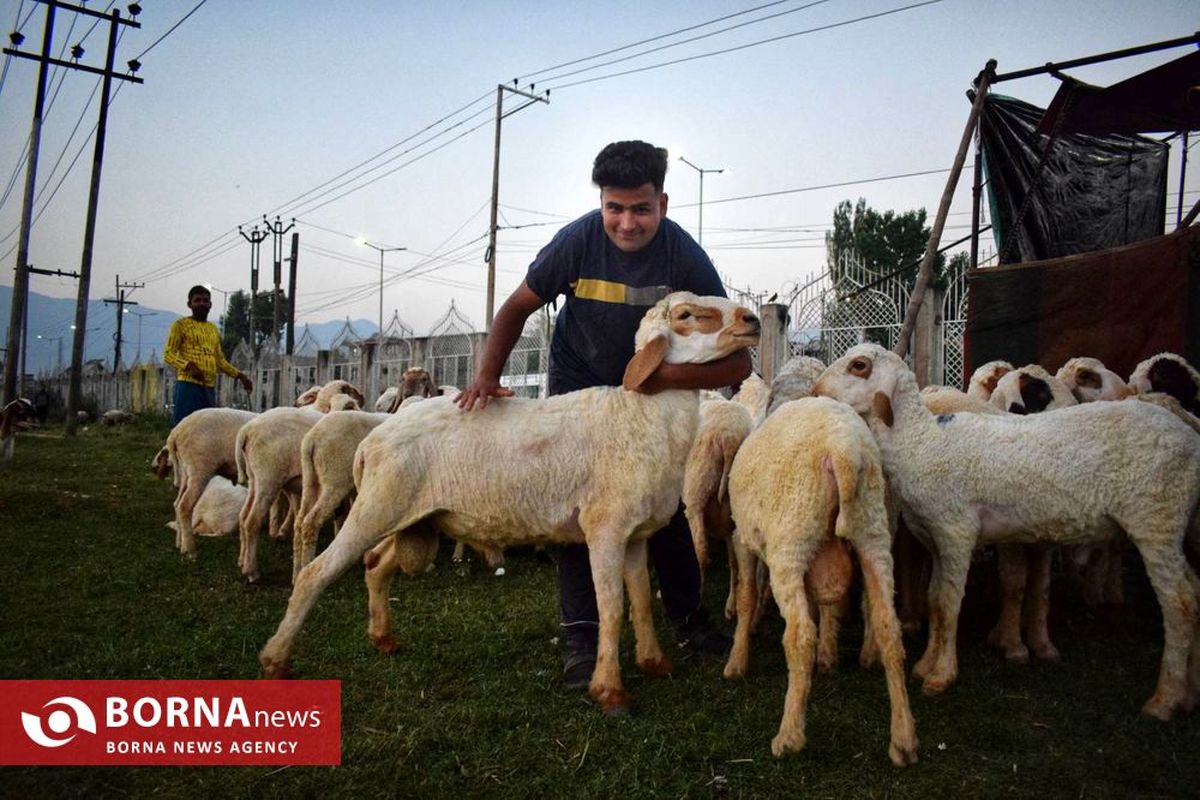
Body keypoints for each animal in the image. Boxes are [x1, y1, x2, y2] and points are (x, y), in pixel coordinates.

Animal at [260, 291, 758, 714]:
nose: (751, 321)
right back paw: (276, 660)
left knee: (375, 565)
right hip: (375, 507)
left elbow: (639, 601)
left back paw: (383, 638)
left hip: (415, 521)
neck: (641, 414)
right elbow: (612, 608)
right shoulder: (605, 529)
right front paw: (610, 689)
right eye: (687, 315)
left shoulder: (636, 534)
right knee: (316, 574)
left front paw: (655, 663)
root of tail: (372, 440)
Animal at [720, 398, 916, 767]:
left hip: (791, 541)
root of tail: (843, 451)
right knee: (889, 628)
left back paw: (789, 735)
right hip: (872, 533)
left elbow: (747, 597)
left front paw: (737, 660)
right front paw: (826, 658)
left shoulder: (744, 539)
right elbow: (823, 606)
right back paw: (904, 740)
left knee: (799, 635)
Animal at [816, 345, 1200, 719]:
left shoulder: (957, 533)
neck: (922, 443)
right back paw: (1188, 695)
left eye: (859, 365)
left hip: (1156, 520)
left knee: (1179, 602)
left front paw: (941, 676)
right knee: (1194, 592)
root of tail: (1190, 440)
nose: (816, 393)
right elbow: (934, 601)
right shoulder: (936, 539)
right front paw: (925, 665)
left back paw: (1163, 700)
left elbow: (948, 605)